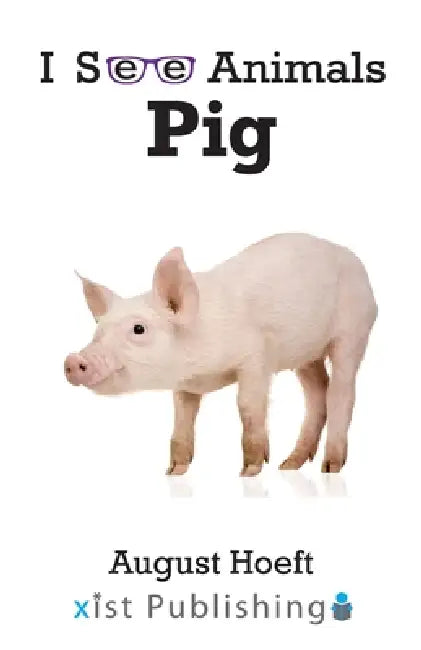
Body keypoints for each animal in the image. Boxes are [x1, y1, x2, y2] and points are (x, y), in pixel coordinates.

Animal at [65, 234, 377, 476]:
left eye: (138, 329)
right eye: (98, 332)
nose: (72, 360)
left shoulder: (256, 356)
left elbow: (247, 406)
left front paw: (249, 471)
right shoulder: (186, 385)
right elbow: (182, 418)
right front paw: (173, 472)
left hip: (353, 331)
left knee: (342, 391)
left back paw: (330, 467)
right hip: (306, 353)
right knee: (318, 390)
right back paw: (289, 465)